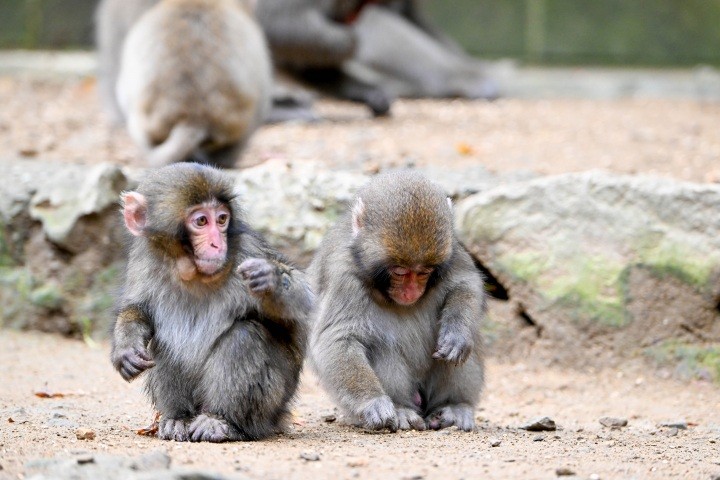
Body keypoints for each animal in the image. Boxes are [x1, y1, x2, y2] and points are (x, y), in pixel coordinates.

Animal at [308, 170, 484, 432]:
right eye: (400, 271)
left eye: (424, 272)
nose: (411, 292)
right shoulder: (342, 274)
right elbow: (337, 337)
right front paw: (373, 402)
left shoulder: (452, 251)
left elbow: (467, 284)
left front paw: (457, 333)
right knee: (380, 346)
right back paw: (401, 409)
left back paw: (453, 406)